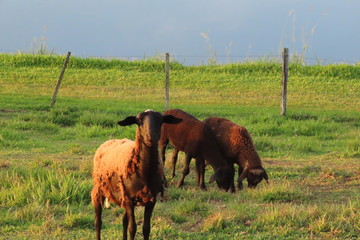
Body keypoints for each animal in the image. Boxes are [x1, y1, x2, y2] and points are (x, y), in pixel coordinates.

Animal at [91, 110, 181, 240]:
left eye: (161, 121)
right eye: (139, 121)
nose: (151, 138)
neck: (144, 173)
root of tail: (109, 141)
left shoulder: (151, 199)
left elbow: (146, 229)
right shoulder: (129, 199)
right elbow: (132, 228)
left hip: (123, 196)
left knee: (124, 221)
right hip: (99, 190)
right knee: (98, 221)